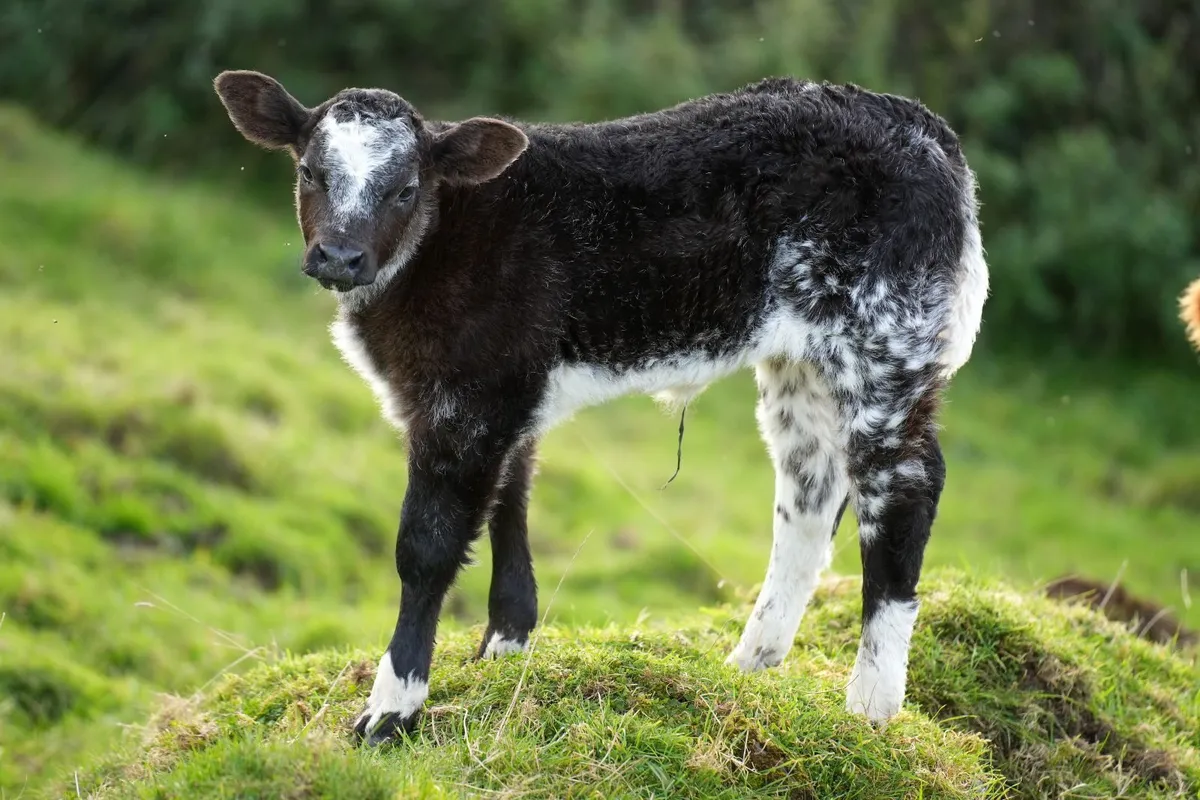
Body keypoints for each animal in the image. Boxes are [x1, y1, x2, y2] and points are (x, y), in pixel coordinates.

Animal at [212, 69, 989, 747]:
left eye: (405, 190)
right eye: (310, 173)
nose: (339, 256)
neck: (442, 240)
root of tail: (920, 127)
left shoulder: (463, 399)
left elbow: (425, 549)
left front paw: (391, 711)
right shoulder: (507, 391)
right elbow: (511, 501)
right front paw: (505, 646)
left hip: (886, 345)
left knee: (903, 490)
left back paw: (871, 703)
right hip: (802, 363)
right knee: (809, 492)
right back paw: (748, 667)